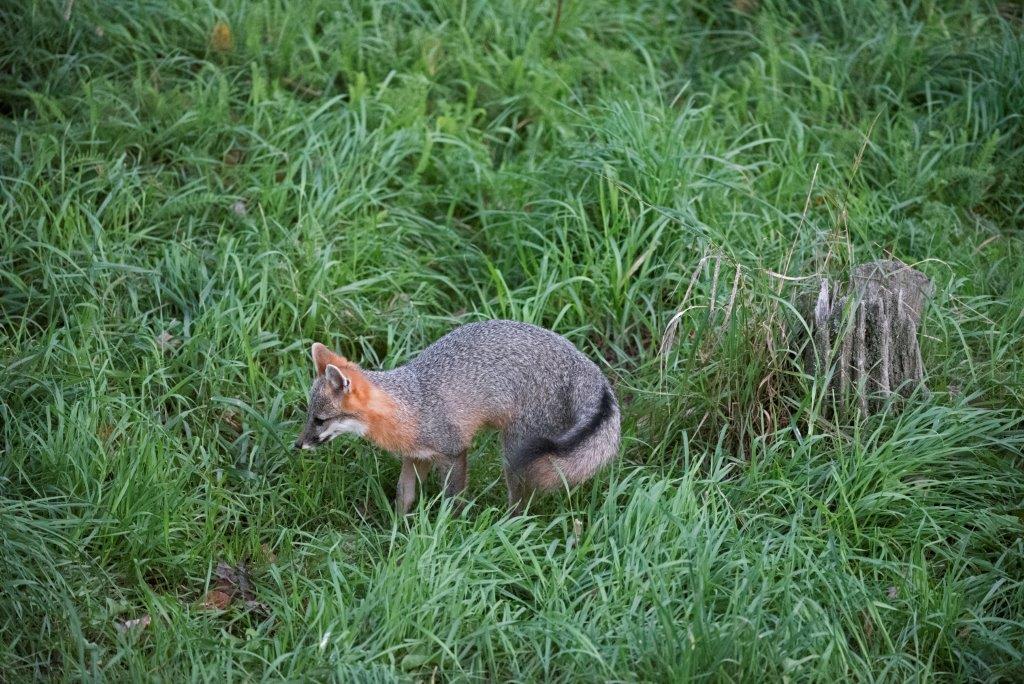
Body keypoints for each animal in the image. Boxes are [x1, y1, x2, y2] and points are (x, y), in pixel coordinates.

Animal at [294, 320, 620, 515]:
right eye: (309, 415)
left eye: (320, 420)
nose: (297, 446)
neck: (413, 404)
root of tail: (585, 362)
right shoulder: (416, 457)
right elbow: (404, 495)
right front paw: (397, 534)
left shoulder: (454, 452)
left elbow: (452, 500)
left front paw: (447, 533)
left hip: (515, 452)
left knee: (522, 501)